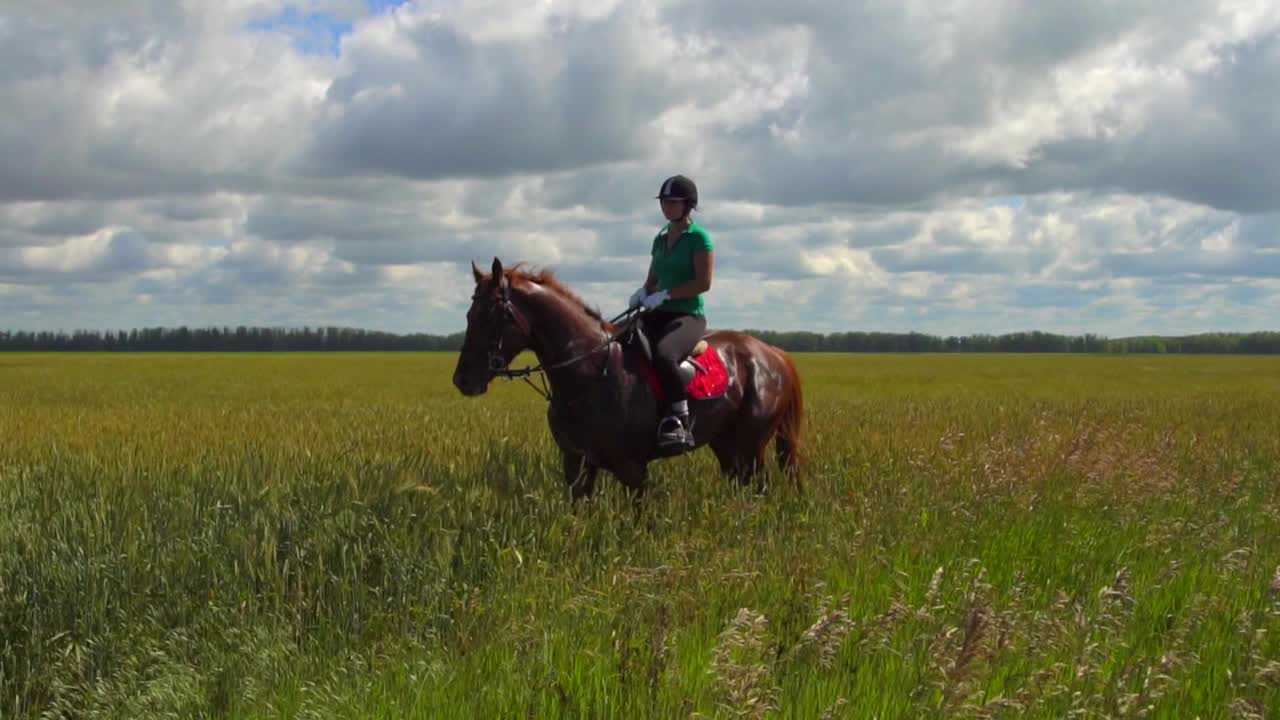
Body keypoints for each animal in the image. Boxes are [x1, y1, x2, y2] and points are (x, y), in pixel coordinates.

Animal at [451, 257, 804, 501]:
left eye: (492, 315)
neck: (591, 373)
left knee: (759, 488)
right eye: (469, 315)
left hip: (750, 446)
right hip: (727, 444)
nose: (463, 380)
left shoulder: (633, 468)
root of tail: (773, 353)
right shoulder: (577, 464)